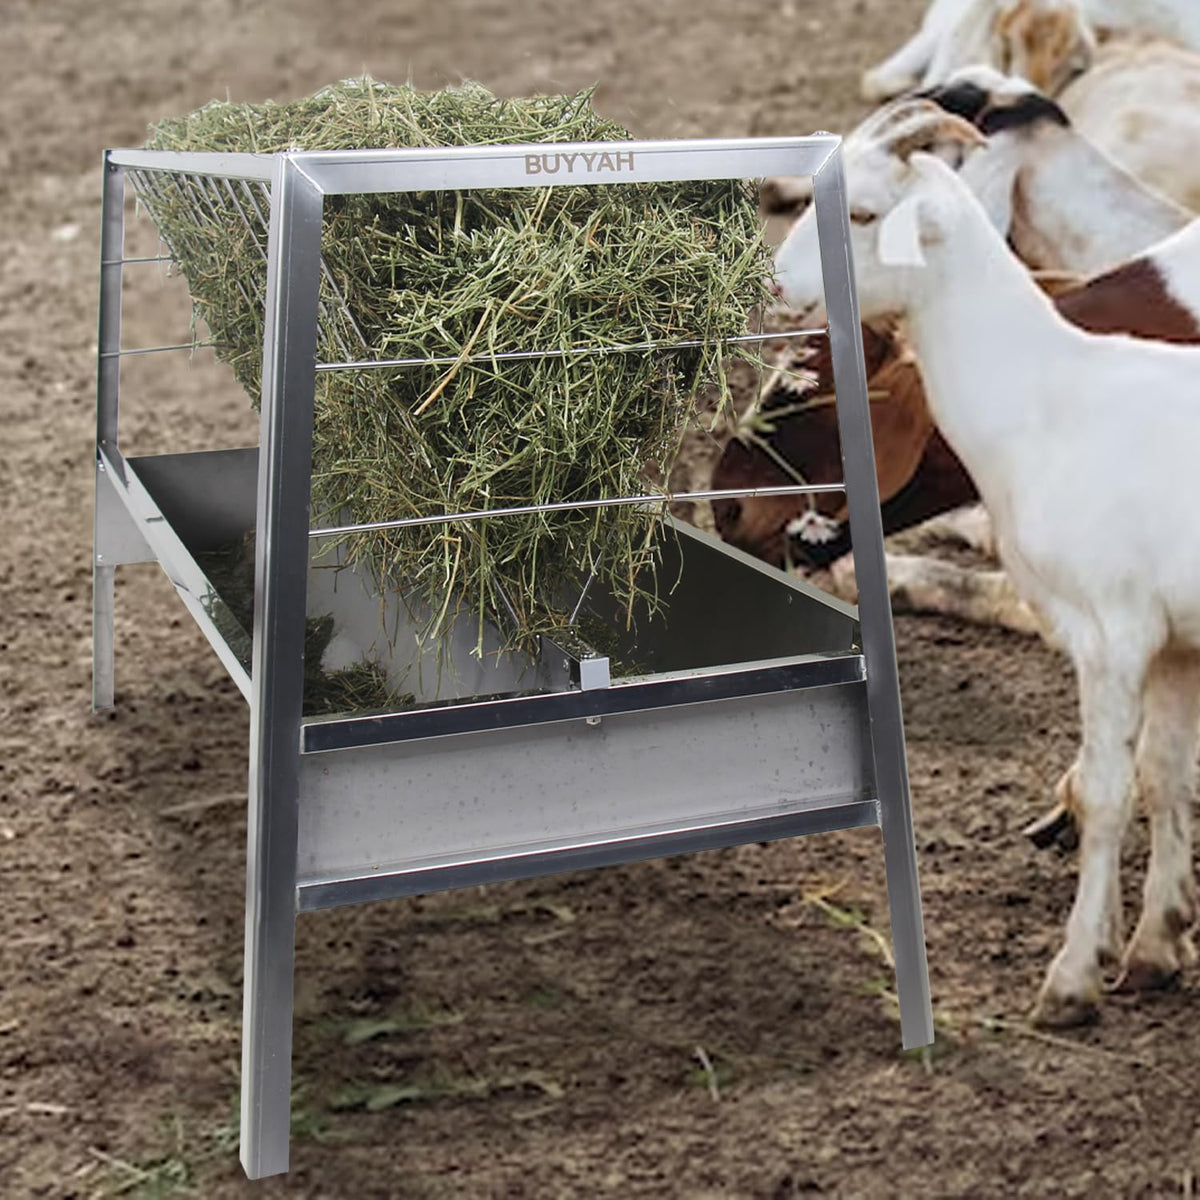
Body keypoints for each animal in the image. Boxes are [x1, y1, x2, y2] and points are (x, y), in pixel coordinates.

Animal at [772, 148, 1200, 1028]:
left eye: (862, 213)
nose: (777, 281)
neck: (1048, 399)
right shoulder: (1176, 644)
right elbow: (1167, 777)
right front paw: (1156, 946)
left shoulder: (1113, 631)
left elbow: (1107, 792)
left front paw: (1072, 979)